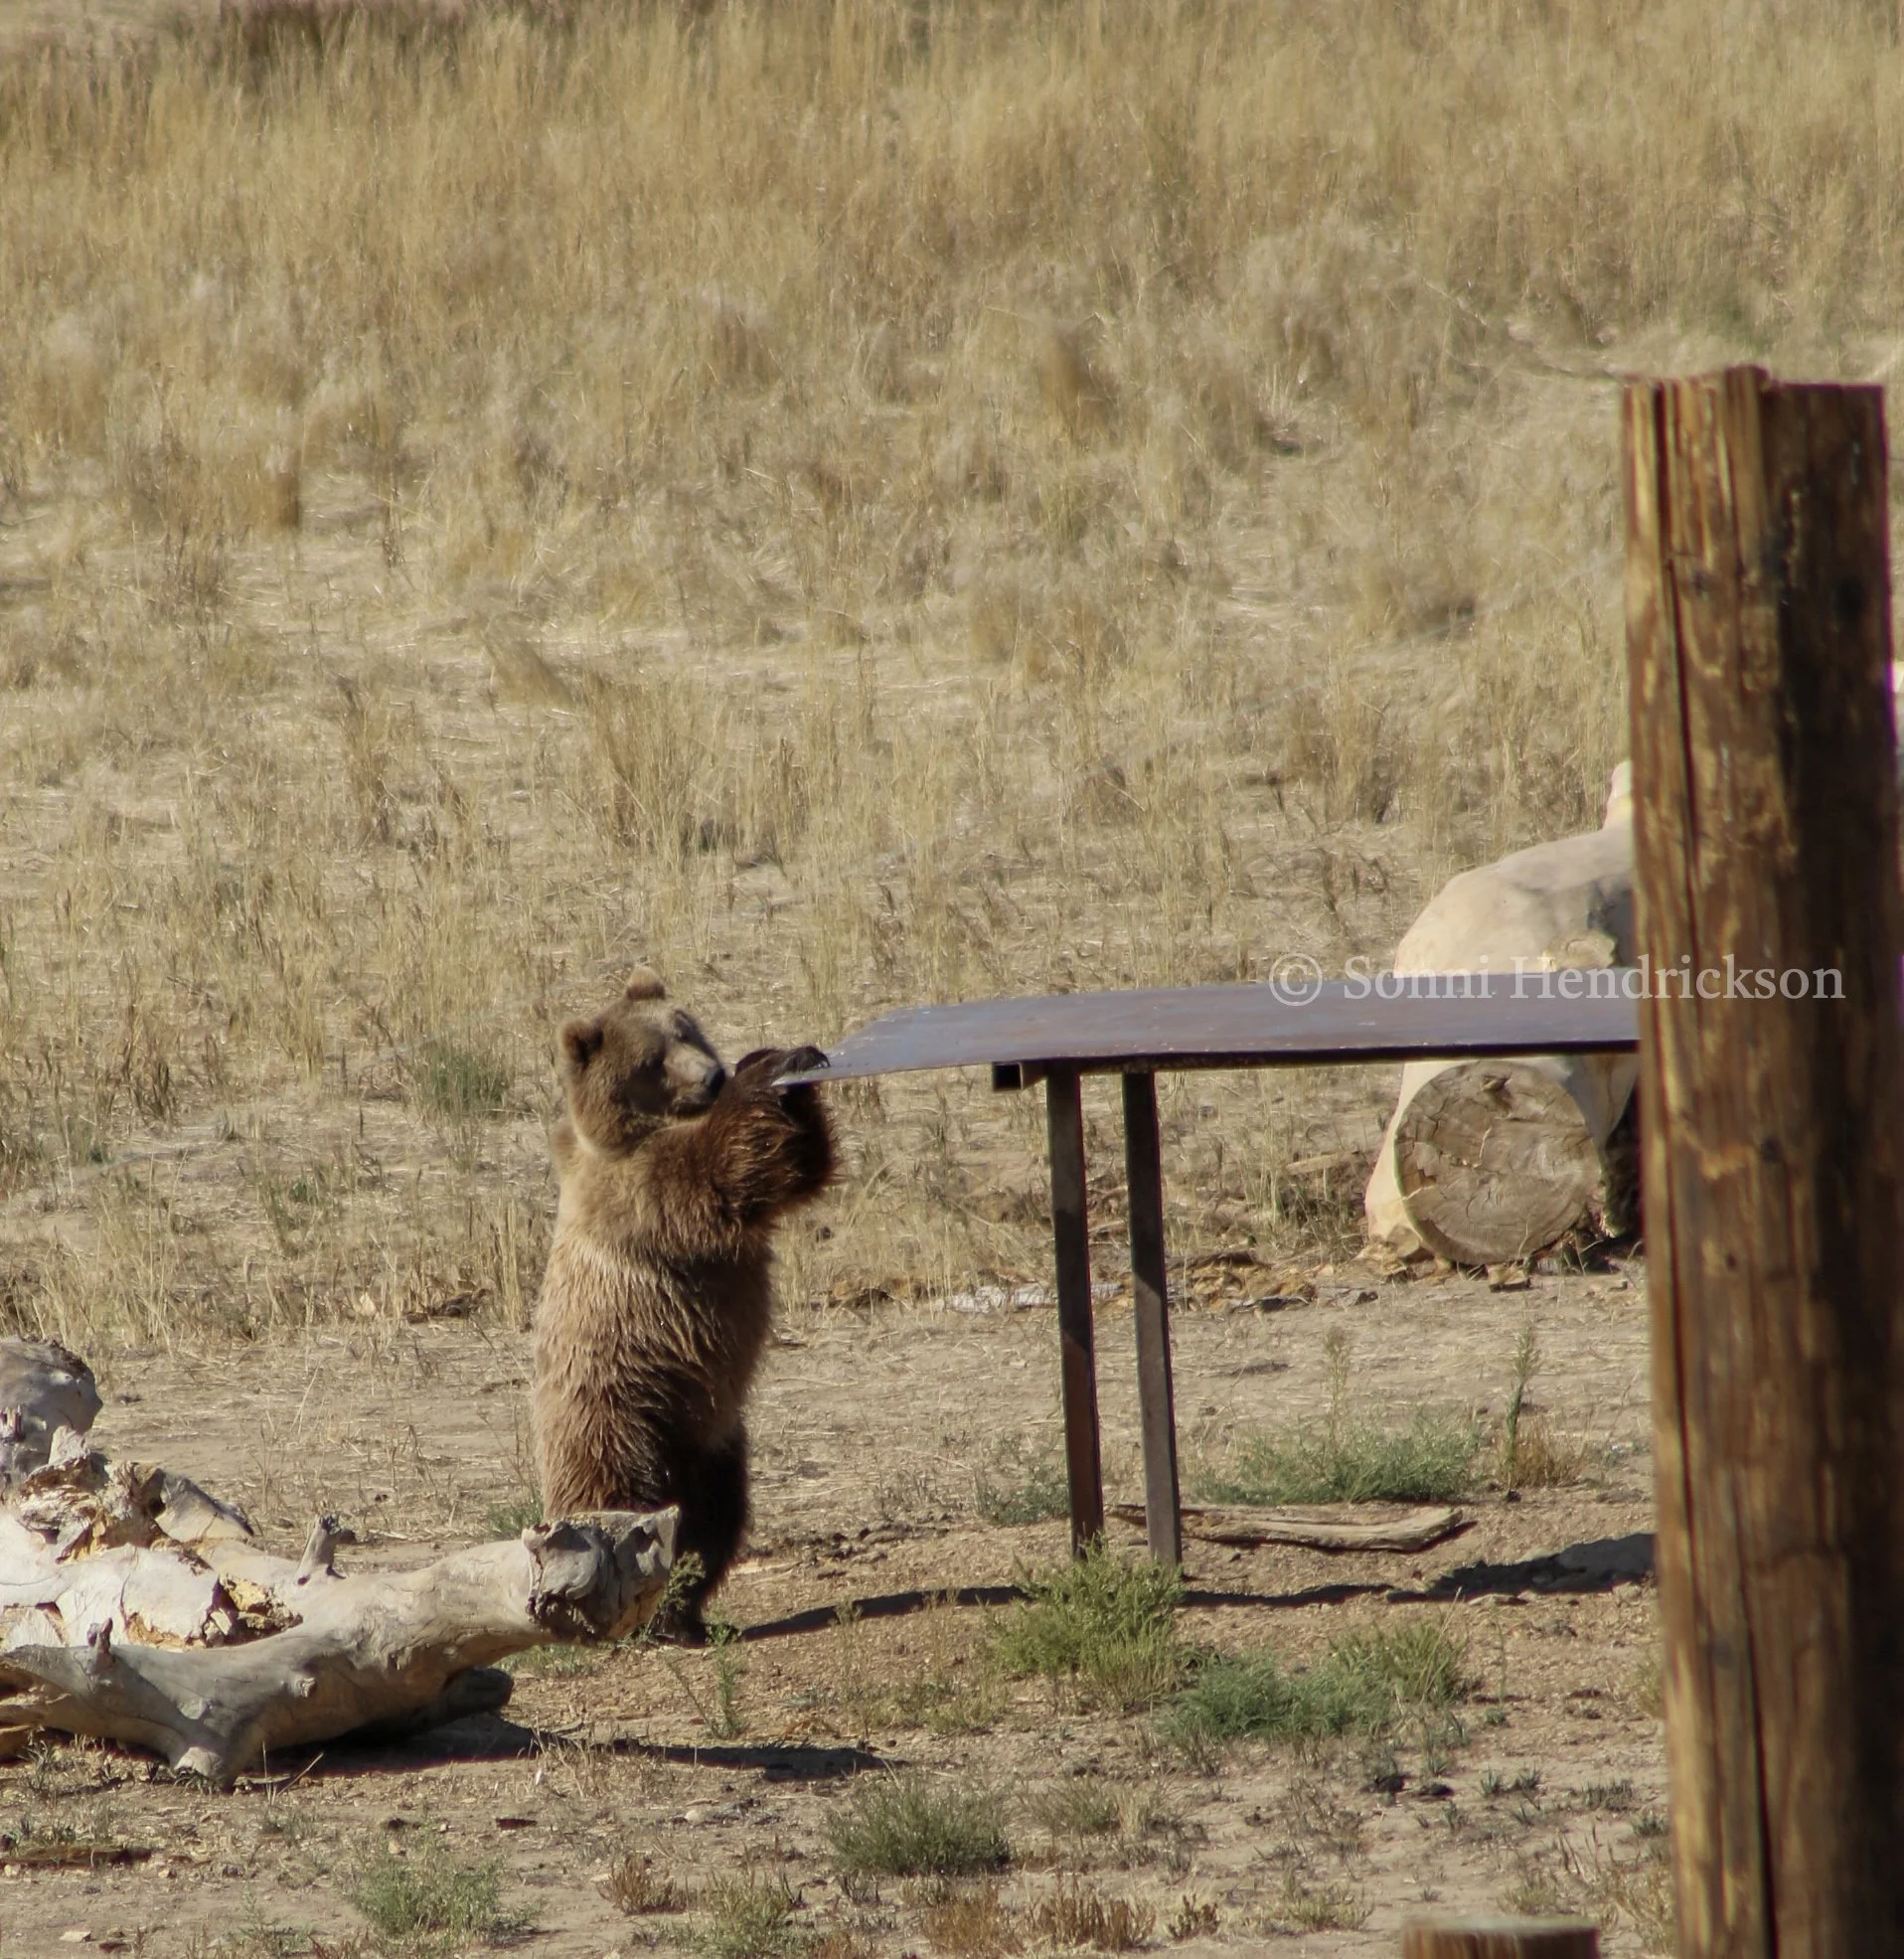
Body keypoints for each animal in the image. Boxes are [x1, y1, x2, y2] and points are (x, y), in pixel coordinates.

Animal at [530, 968, 835, 1641]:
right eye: (651, 1059)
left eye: (686, 1029)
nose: (712, 1075)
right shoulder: (637, 1190)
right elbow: (720, 1170)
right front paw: (767, 1069)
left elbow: (797, 1168)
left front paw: (789, 1058)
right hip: (622, 1412)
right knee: (630, 1506)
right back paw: (642, 1612)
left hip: (716, 1441)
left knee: (717, 1517)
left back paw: (686, 1610)